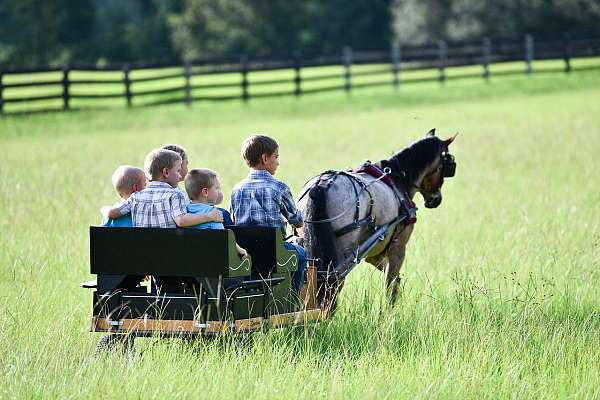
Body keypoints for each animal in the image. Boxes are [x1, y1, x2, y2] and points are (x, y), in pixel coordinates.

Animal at [298, 130, 458, 310]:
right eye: (447, 164)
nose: (435, 200)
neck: (397, 180)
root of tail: (321, 185)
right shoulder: (397, 247)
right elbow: (391, 285)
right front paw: (391, 312)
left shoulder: (374, 254)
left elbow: (393, 279)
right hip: (341, 257)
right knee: (331, 286)